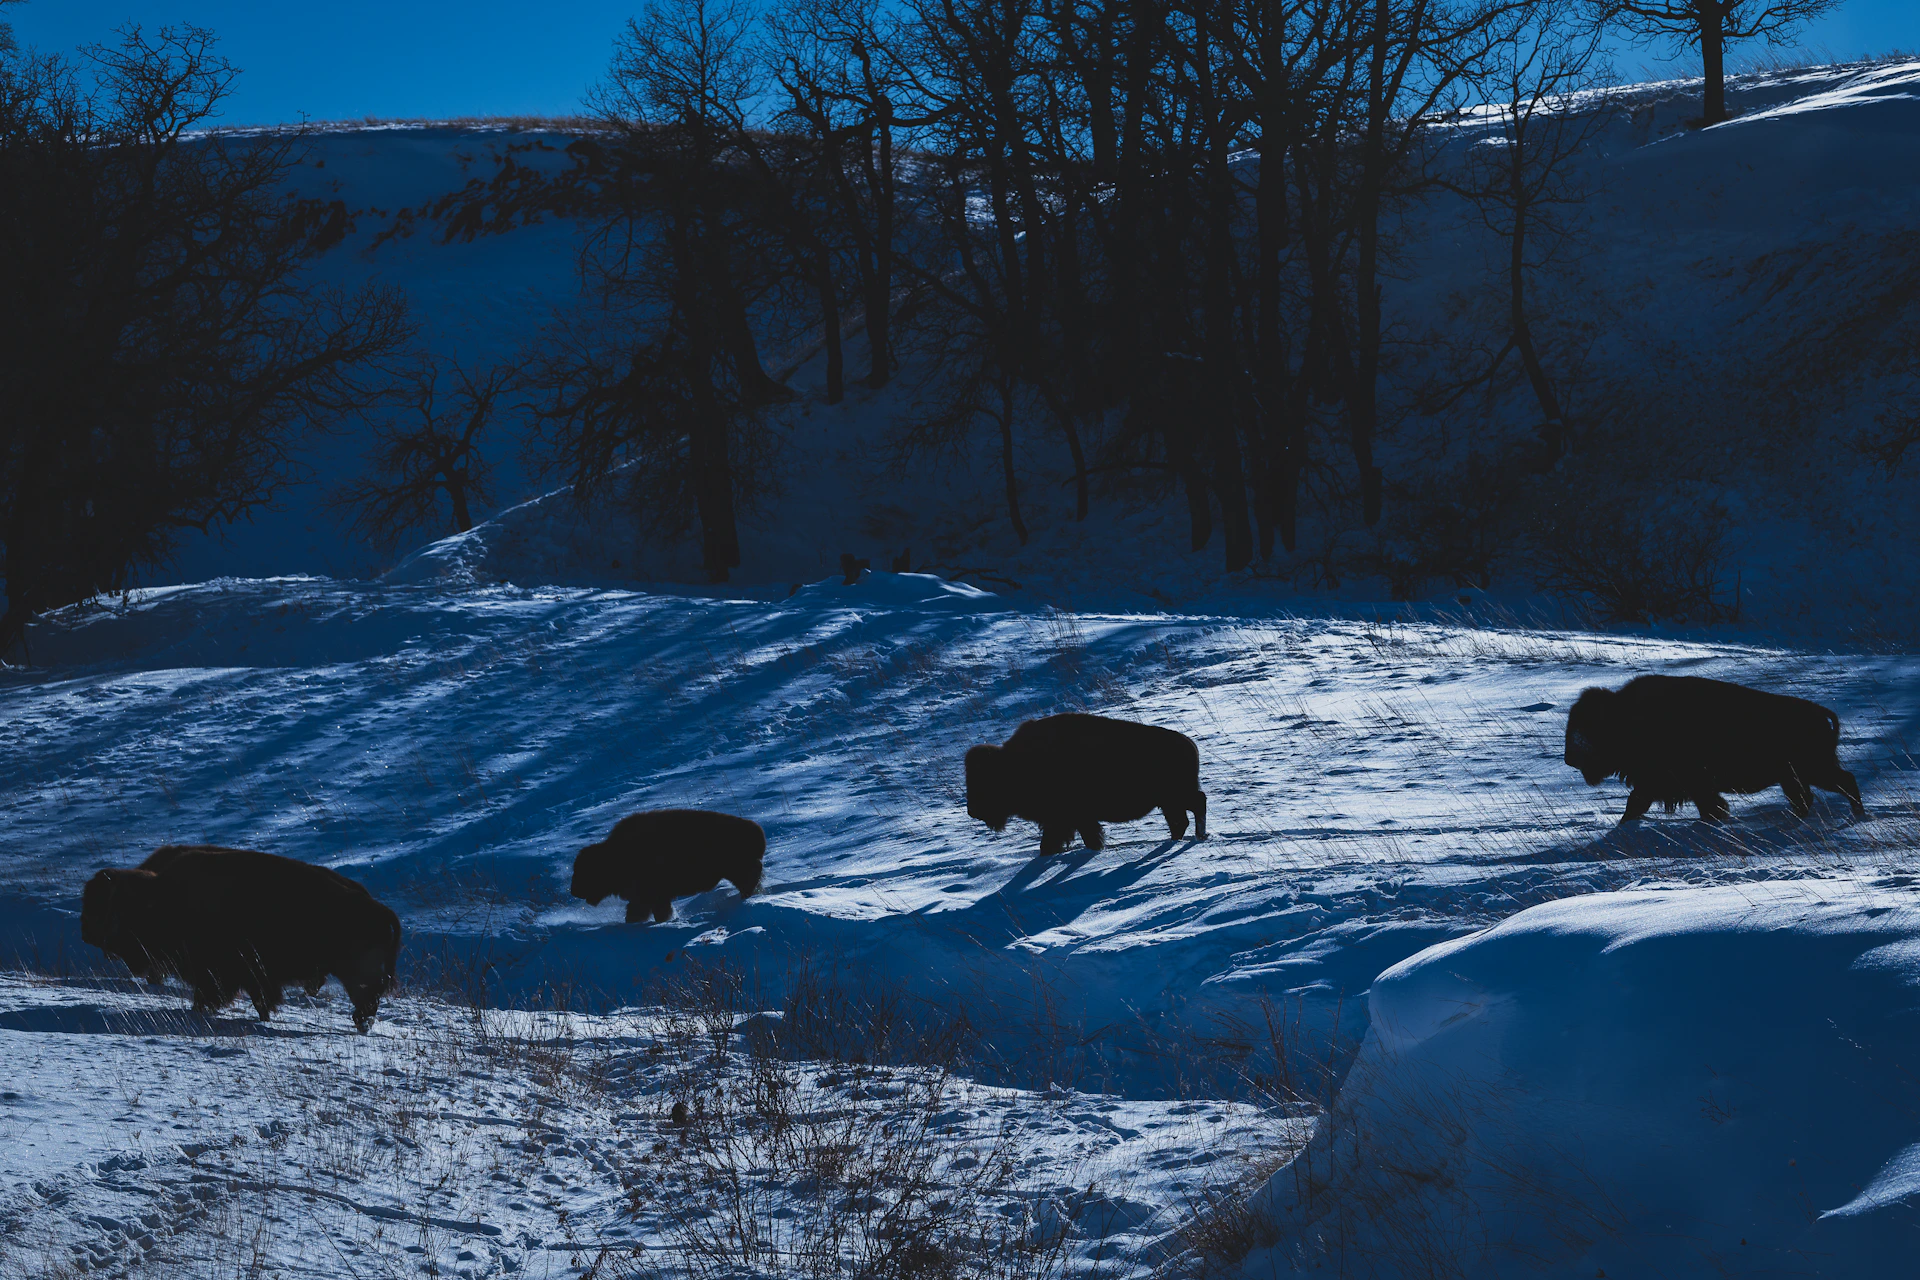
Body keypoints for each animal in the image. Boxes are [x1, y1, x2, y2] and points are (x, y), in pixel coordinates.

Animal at [80, 845, 401, 1033]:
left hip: (355, 974)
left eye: (104, 908)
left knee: (367, 999)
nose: (85, 933)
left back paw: (360, 1024)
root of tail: (381, 910)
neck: (161, 900)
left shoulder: (222, 972)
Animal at [570, 809, 766, 924]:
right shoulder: (650, 898)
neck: (614, 855)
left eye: (585, 872)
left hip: (736, 869)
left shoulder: (650, 896)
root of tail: (755, 830)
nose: (574, 891)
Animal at [965, 712, 1207, 854]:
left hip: (1176, 796)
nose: (972, 811)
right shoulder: (1069, 820)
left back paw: (1198, 836)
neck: (1014, 762)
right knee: (1181, 819)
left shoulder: (1068, 818)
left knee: (1196, 806)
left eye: (987, 780)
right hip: (1170, 801)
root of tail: (1190, 744)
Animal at [1564, 675, 1866, 824]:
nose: (1569, 758)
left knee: (1844, 782)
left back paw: (1856, 815)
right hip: (1795, 776)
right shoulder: (1656, 784)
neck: (1624, 717)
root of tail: (1819, 713)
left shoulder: (1688, 781)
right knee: (1807, 796)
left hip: (1812, 770)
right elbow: (1635, 803)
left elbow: (1709, 804)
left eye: (1587, 729)